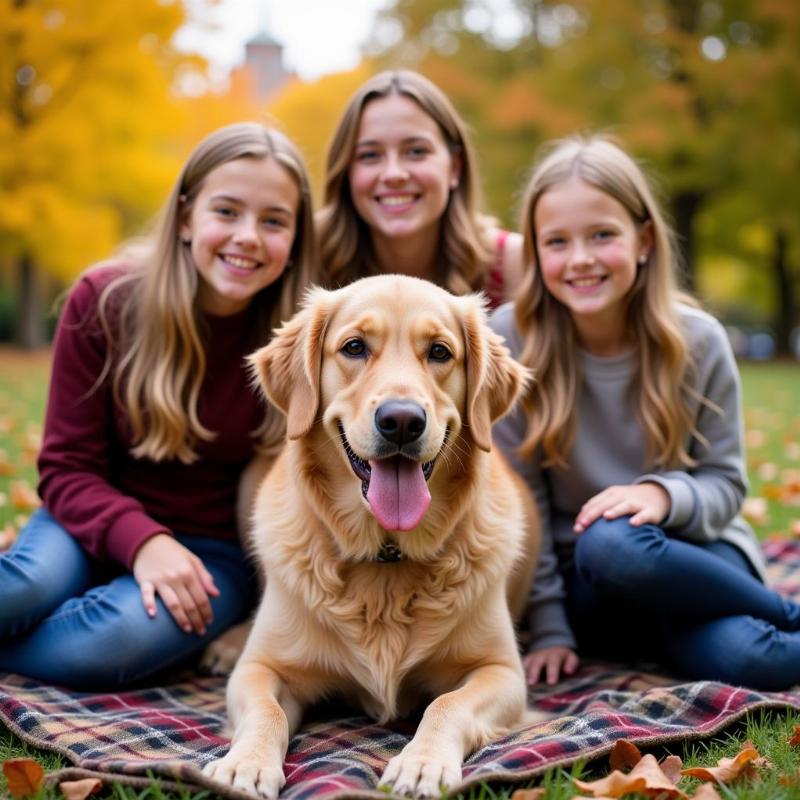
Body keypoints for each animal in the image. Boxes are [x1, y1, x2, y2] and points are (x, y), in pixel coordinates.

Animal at [203, 276, 540, 800]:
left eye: (440, 352)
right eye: (354, 347)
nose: (401, 420)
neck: (386, 555)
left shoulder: (501, 672)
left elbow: (447, 704)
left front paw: (421, 763)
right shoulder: (261, 670)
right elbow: (267, 711)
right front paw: (246, 764)